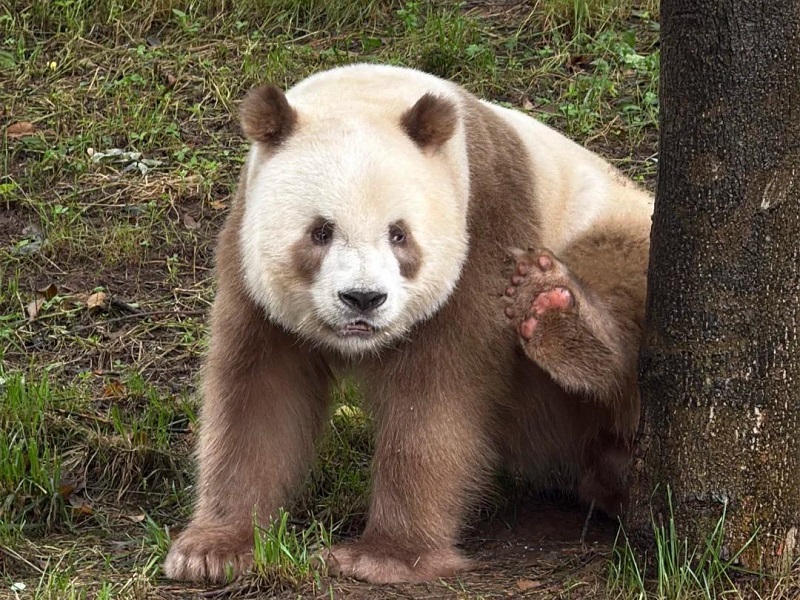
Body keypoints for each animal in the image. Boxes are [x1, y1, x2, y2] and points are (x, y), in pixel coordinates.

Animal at [163, 63, 653, 584]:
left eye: (398, 234)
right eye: (321, 231)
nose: (363, 298)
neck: (366, 92)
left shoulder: (479, 231)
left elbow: (437, 398)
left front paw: (380, 557)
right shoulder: (246, 256)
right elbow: (259, 393)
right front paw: (212, 550)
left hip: (608, 227)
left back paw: (554, 313)